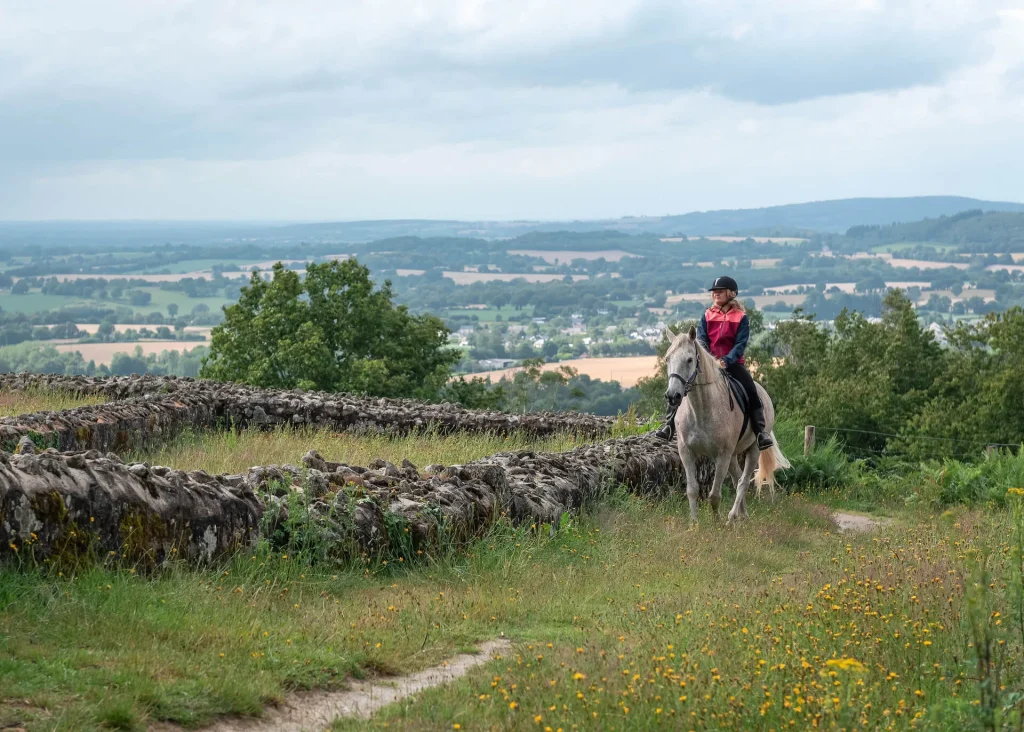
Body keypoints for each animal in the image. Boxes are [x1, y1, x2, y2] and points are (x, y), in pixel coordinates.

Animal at [663, 325, 790, 522]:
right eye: (668, 359)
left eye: (689, 360)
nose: (672, 396)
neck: (701, 409)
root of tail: (763, 393)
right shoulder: (686, 452)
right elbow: (692, 490)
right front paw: (694, 523)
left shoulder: (721, 455)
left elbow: (714, 495)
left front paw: (716, 522)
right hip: (732, 455)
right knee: (738, 478)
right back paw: (742, 515)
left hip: (752, 450)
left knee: (743, 482)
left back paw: (732, 517)